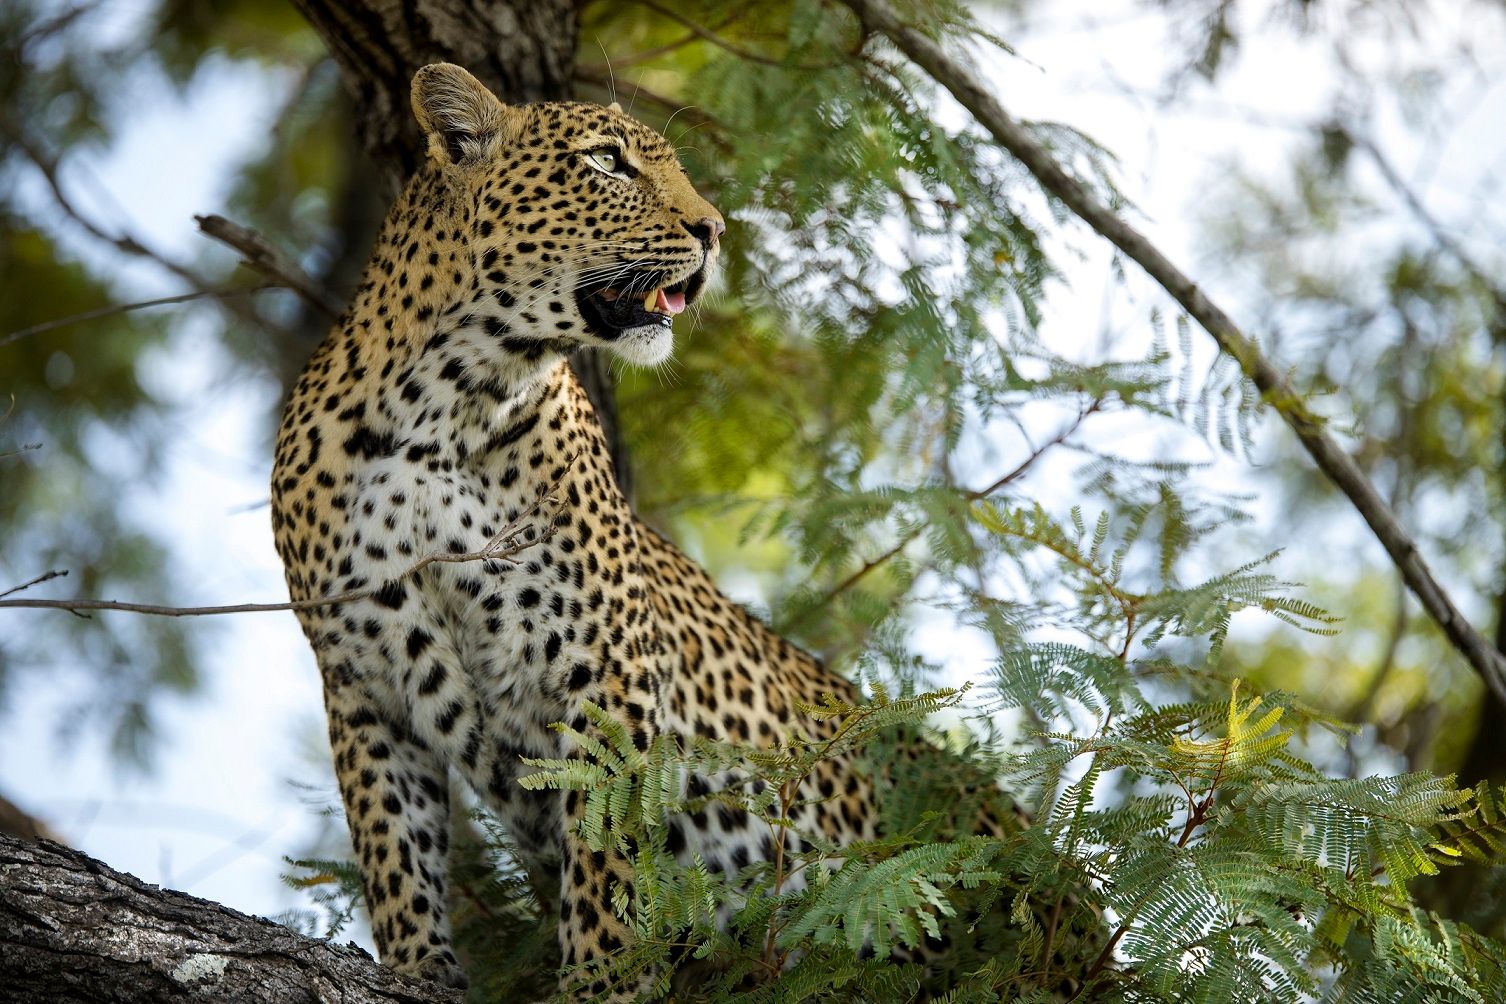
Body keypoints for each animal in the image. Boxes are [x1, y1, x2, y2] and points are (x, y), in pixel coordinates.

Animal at [271, 63, 1051, 1000]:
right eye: (607, 161)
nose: (714, 230)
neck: (443, 409)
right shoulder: (362, 679)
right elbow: (394, 846)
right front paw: (421, 967)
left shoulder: (603, 661)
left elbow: (606, 850)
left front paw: (603, 981)